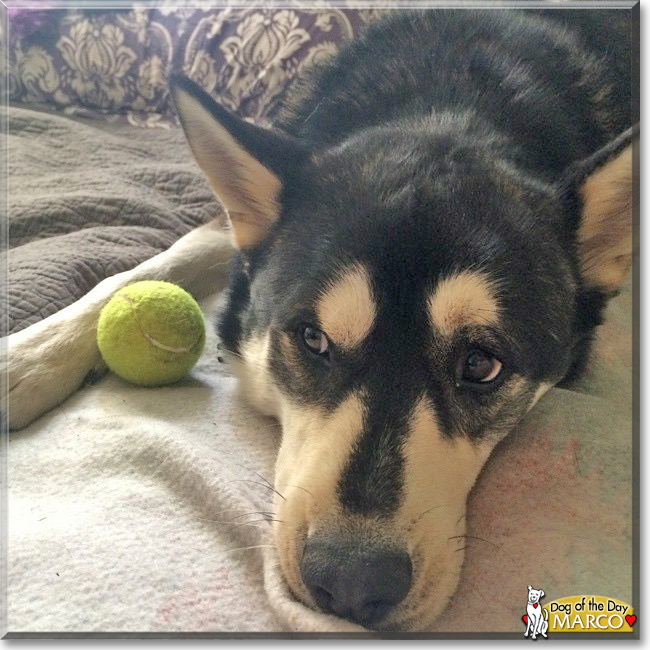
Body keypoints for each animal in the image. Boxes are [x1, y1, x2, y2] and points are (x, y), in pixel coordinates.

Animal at [3, 8, 632, 628]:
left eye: (481, 365)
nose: (353, 582)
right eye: (313, 339)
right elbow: (143, 270)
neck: (450, 101)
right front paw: (27, 361)